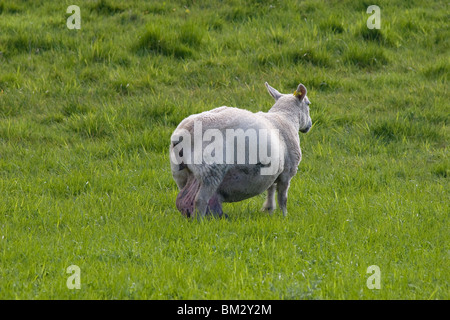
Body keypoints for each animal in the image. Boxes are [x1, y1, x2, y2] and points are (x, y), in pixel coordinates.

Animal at [170, 81, 312, 219]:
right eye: (308, 104)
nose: (309, 125)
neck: (285, 117)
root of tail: (185, 132)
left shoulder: (273, 171)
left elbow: (270, 190)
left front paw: (269, 210)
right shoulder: (287, 172)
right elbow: (283, 198)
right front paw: (284, 217)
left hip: (182, 173)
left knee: (183, 199)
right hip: (210, 170)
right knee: (199, 200)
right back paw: (200, 222)